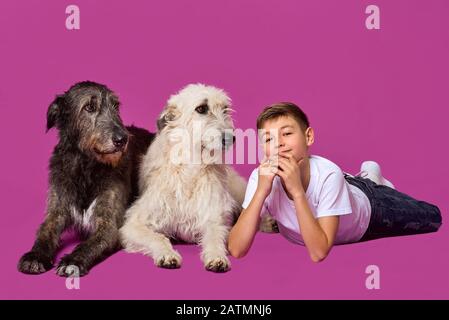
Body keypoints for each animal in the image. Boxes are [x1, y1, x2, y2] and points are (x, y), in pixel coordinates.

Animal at [118, 83, 245, 272]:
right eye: (201, 108)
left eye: (225, 110)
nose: (231, 138)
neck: (190, 168)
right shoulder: (134, 224)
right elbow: (158, 237)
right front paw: (167, 254)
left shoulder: (214, 217)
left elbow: (215, 237)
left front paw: (217, 256)